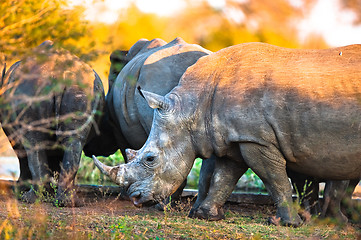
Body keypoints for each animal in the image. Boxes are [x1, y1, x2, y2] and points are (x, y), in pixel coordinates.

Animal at [0, 41, 104, 206]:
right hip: (81, 89)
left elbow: (22, 155)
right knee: (73, 140)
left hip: (31, 90)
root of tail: (59, 75)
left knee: (33, 143)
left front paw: (21, 190)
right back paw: (68, 202)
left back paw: (29, 199)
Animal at [93, 43, 360, 227]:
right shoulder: (236, 137)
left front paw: (287, 224)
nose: (135, 197)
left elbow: (275, 179)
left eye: (150, 159)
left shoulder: (256, 139)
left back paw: (338, 223)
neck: (192, 105)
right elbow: (225, 176)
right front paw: (206, 215)